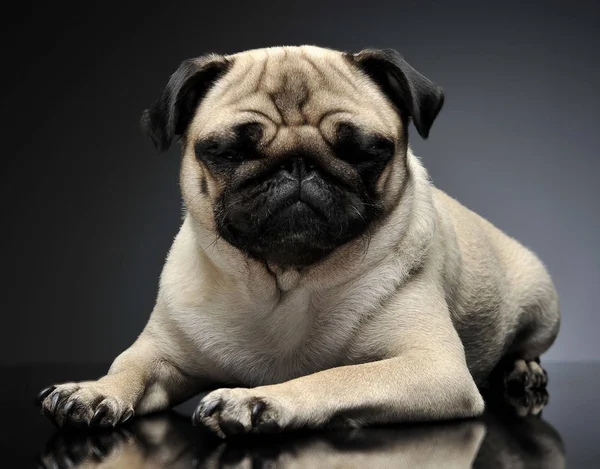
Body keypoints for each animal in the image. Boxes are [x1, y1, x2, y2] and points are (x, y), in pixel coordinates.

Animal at [37, 45, 560, 436]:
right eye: (228, 152)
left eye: (364, 151)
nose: (298, 165)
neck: (286, 283)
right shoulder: (161, 353)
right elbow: (129, 366)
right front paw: (93, 389)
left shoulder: (432, 366)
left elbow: (337, 377)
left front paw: (256, 400)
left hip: (542, 300)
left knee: (527, 344)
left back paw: (522, 371)